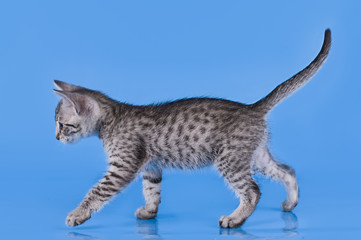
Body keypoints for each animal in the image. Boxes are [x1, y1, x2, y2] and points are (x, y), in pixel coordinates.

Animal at [52, 29, 330, 228]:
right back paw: (290, 202)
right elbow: (152, 190)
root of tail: (252, 108)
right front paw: (150, 211)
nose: (55, 138)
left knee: (253, 191)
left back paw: (235, 219)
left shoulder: (122, 166)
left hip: (228, 159)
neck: (113, 118)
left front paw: (77, 214)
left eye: (62, 125)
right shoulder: (150, 166)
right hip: (254, 155)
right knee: (287, 170)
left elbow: (96, 191)